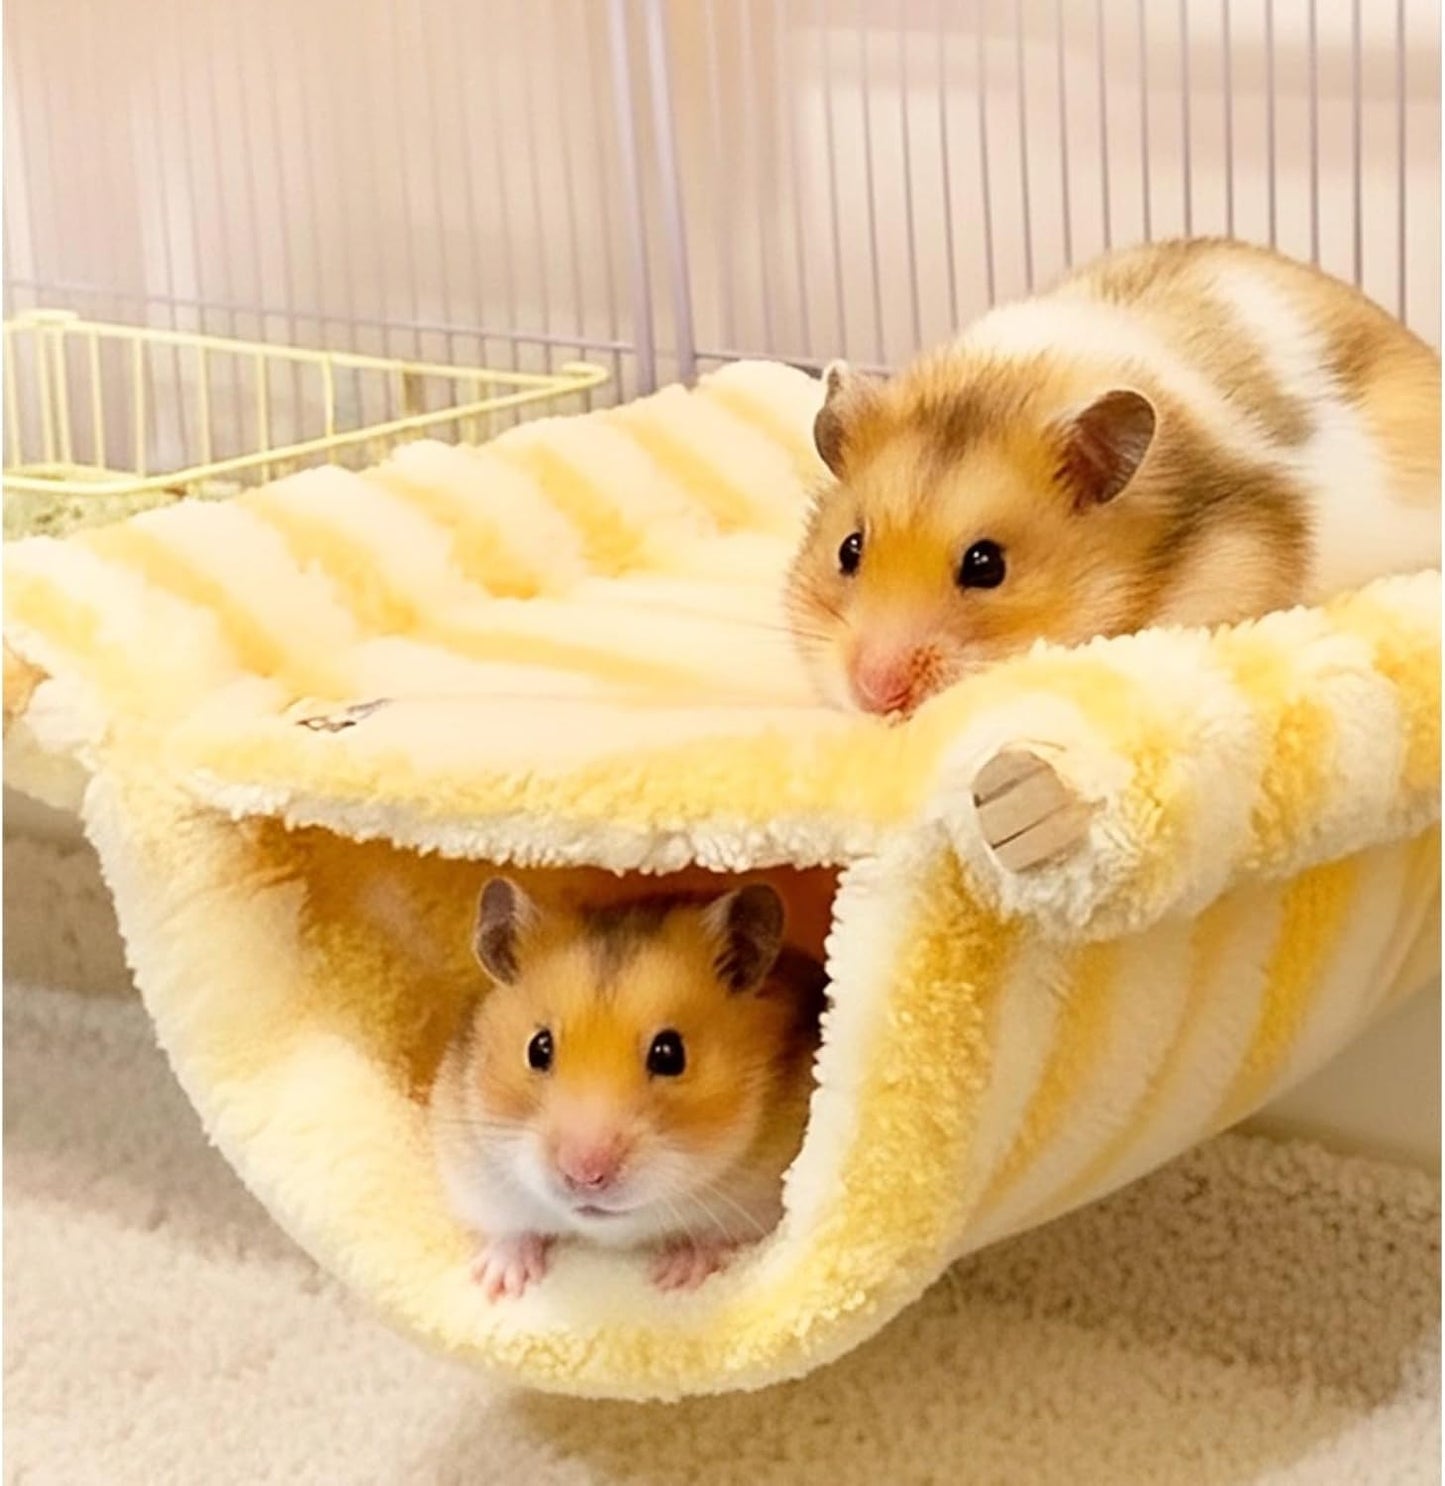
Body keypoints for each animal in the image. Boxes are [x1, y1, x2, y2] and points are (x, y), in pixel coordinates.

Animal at [429, 877, 826, 1300]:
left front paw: (675, 1278)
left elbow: (712, 1237)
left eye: (670, 1054)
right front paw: (497, 1285)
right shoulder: (473, 1176)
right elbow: (510, 1229)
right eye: (538, 1048)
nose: (585, 1176)